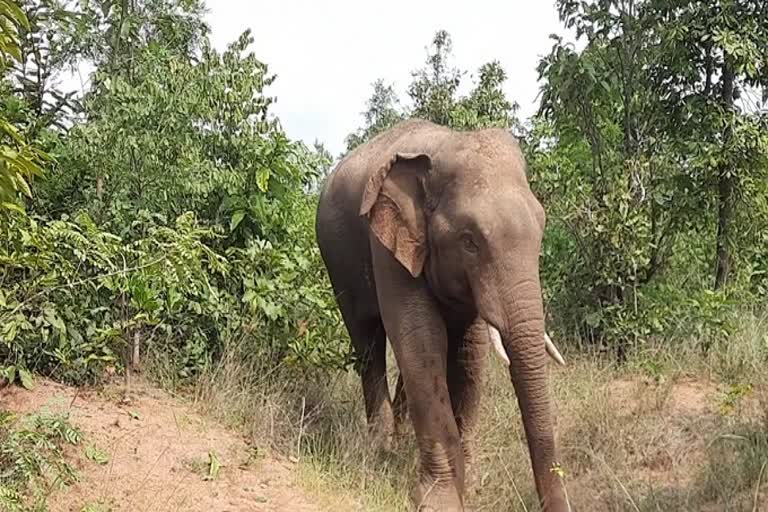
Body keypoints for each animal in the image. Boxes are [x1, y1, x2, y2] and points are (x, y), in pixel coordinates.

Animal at [314, 120, 568, 512]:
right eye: (469, 241)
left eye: (541, 228)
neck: (446, 145)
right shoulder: (388, 243)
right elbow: (421, 340)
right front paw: (439, 500)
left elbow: (468, 353)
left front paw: (471, 487)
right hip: (337, 259)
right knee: (368, 342)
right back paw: (382, 449)